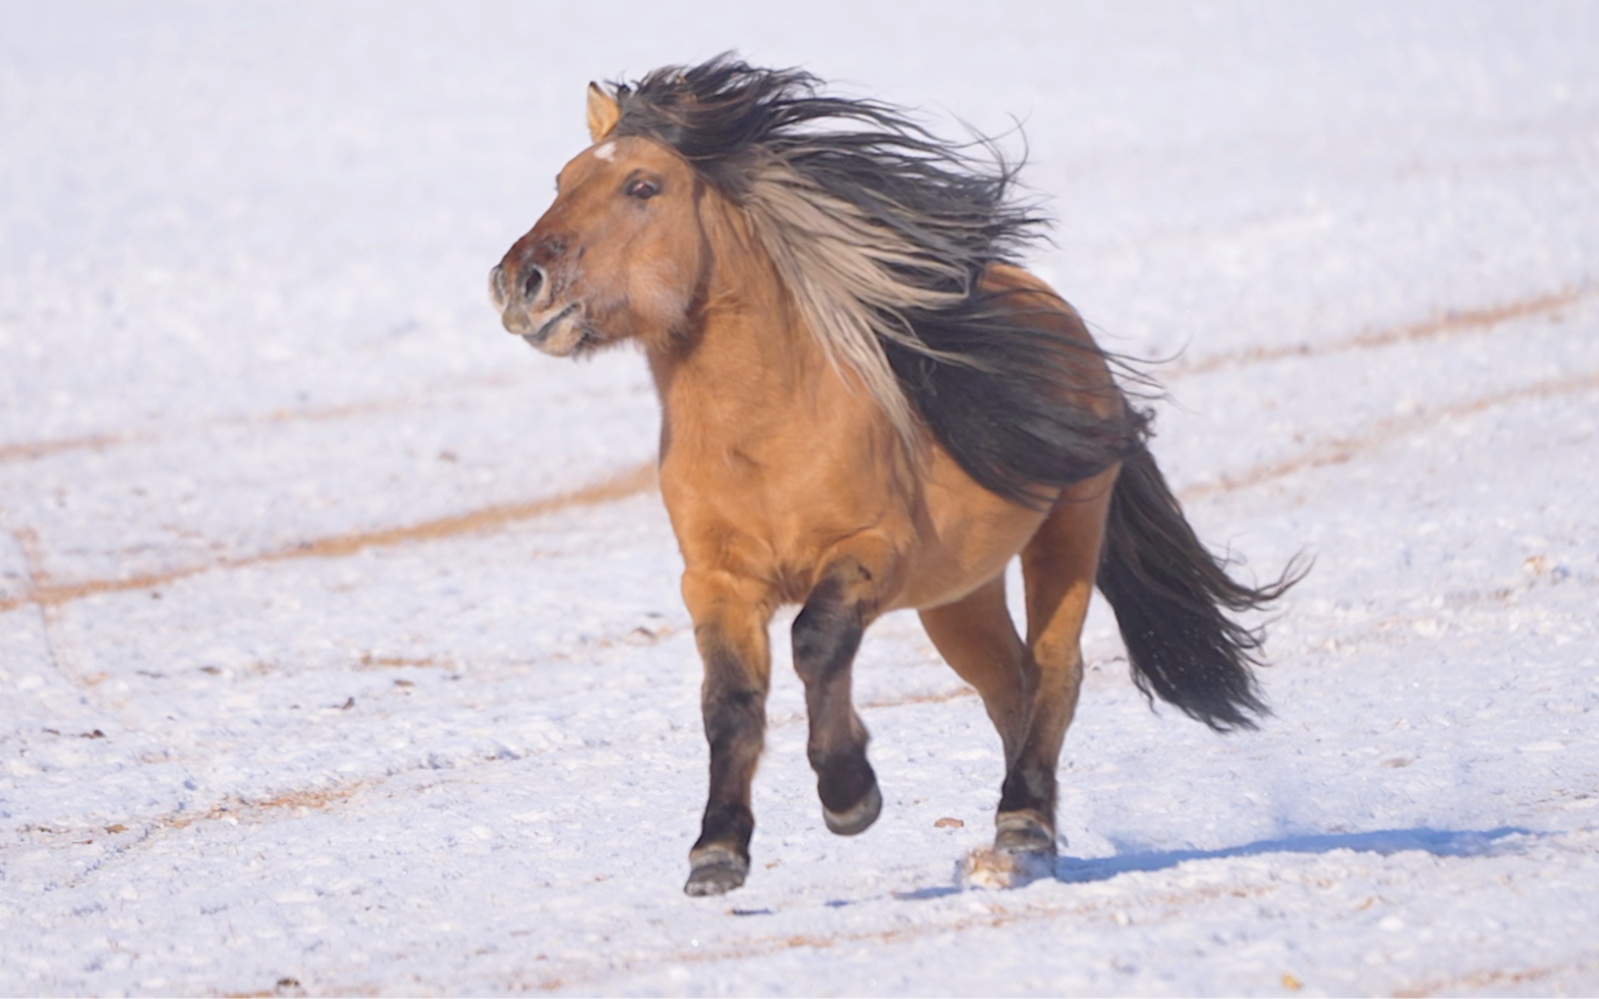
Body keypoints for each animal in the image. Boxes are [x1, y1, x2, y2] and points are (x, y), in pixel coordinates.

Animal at [486, 58, 1298, 895]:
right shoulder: (716, 580)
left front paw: (849, 793)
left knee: (1052, 671)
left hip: (1067, 529)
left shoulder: (874, 551)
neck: (766, 435)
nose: (521, 282)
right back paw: (1017, 837)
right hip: (958, 594)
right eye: (563, 177)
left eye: (642, 186)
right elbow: (729, 701)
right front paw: (716, 849)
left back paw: (1023, 825)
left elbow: (815, 642)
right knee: (1007, 685)